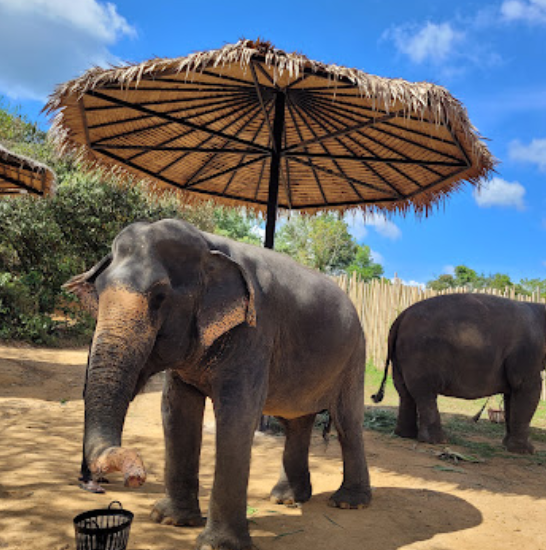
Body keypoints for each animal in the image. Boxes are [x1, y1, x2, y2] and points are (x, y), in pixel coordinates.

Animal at [65, 218, 371, 550]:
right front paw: (170, 520)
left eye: (159, 297)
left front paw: (215, 545)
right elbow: (176, 412)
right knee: (296, 423)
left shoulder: (254, 331)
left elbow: (237, 416)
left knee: (347, 423)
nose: (136, 476)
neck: (209, 244)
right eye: (98, 293)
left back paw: (348, 503)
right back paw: (286, 500)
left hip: (355, 357)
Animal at [372, 293, 546, 454]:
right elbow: (529, 390)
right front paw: (527, 451)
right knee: (424, 393)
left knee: (405, 392)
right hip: (420, 354)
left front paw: (508, 446)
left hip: (400, 357)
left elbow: (512, 395)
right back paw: (437, 441)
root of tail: (400, 317)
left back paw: (405, 435)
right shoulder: (527, 353)